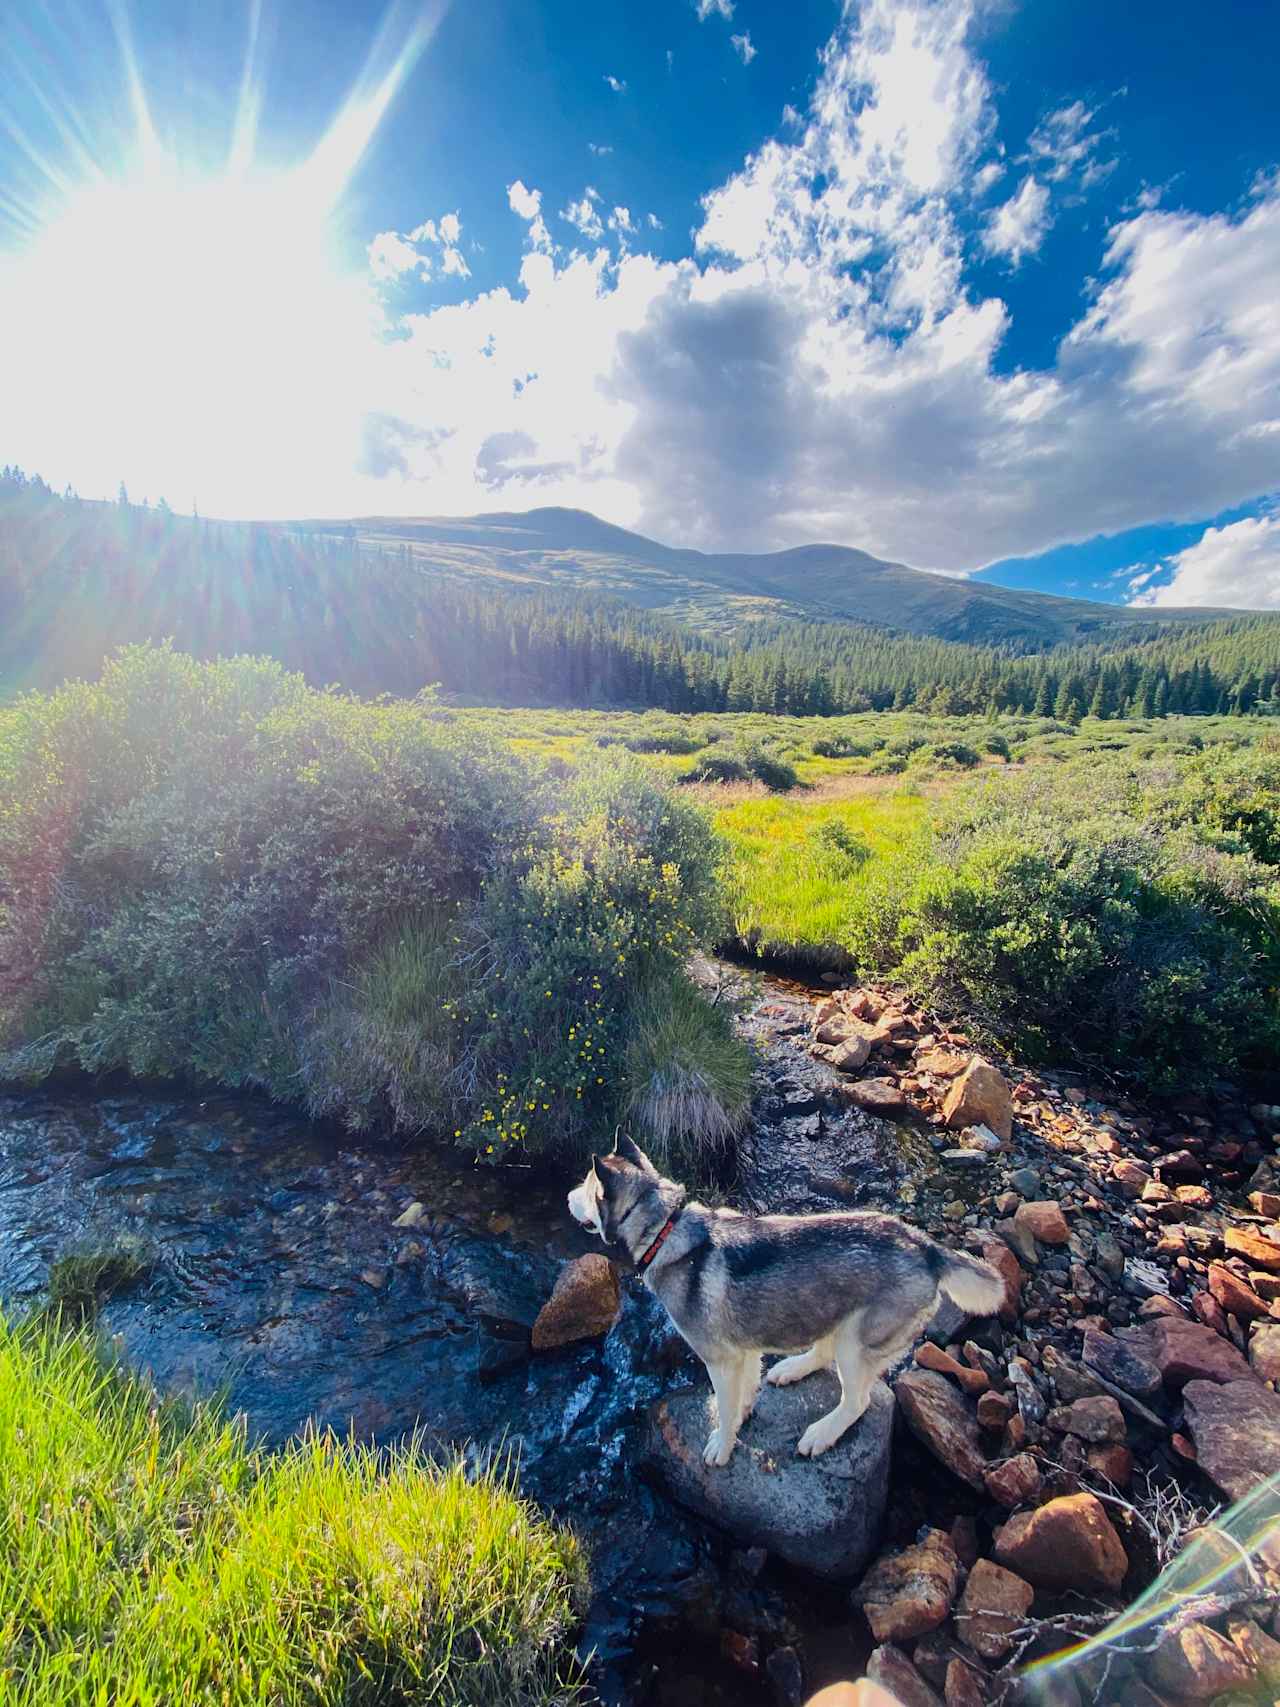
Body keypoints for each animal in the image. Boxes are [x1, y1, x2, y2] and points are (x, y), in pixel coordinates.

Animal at [566, 1140, 1010, 1461]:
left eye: (586, 1188)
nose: (566, 1197)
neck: (664, 1229)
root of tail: (925, 1246)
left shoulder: (720, 1359)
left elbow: (724, 1406)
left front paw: (721, 1444)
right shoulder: (743, 1350)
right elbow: (744, 1392)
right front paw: (742, 1415)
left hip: (858, 1342)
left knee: (857, 1400)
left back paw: (822, 1433)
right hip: (833, 1312)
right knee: (824, 1351)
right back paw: (794, 1368)